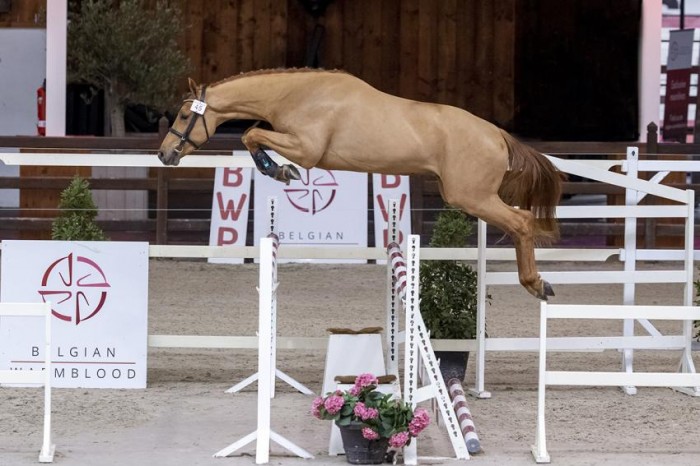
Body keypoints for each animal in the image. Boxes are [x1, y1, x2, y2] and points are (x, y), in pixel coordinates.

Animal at [159, 68, 564, 298]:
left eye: (184, 114)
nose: (164, 155)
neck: (298, 94)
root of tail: (497, 134)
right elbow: (252, 135)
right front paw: (278, 170)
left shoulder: (307, 150)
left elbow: (251, 134)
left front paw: (281, 171)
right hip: (469, 196)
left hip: (471, 197)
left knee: (522, 222)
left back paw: (537, 284)